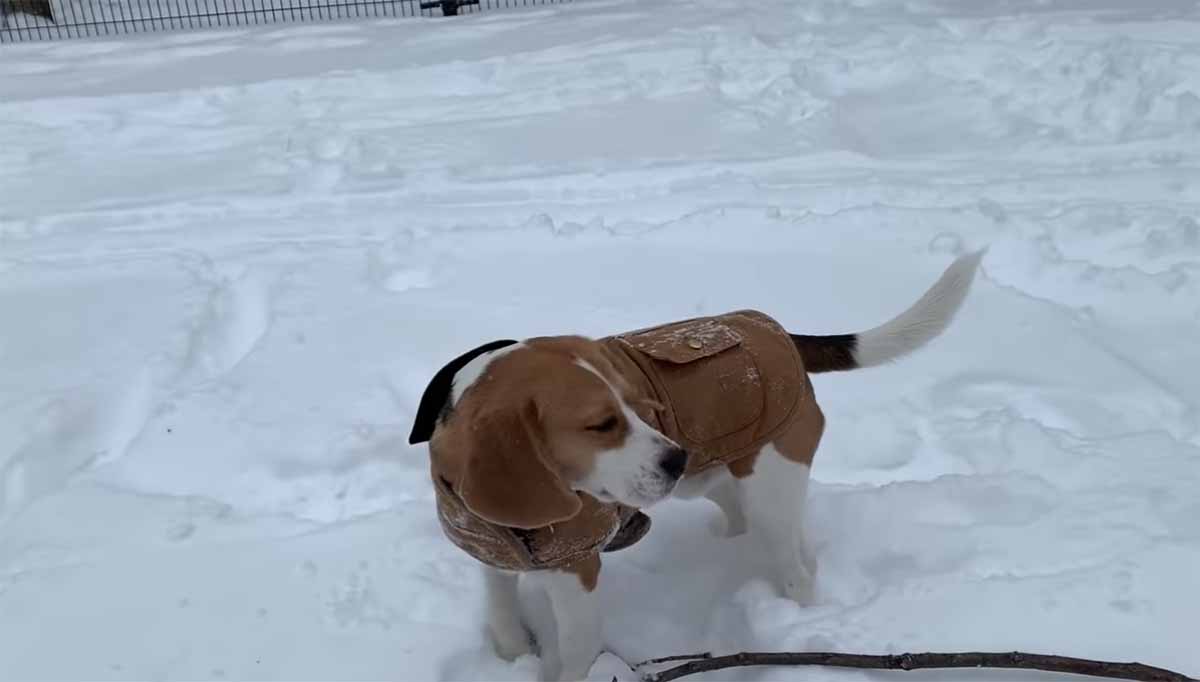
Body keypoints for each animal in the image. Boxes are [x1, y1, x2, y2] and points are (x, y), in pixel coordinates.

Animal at [408, 252, 979, 682]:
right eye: (601, 424)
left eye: (643, 406)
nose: (676, 456)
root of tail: (779, 333)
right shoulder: (490, 556)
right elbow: (502, 617)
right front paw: (511, 654)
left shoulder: (576, 576)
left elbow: (573, 657)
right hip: (714, 481)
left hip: (767, 484)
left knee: (796, 566)